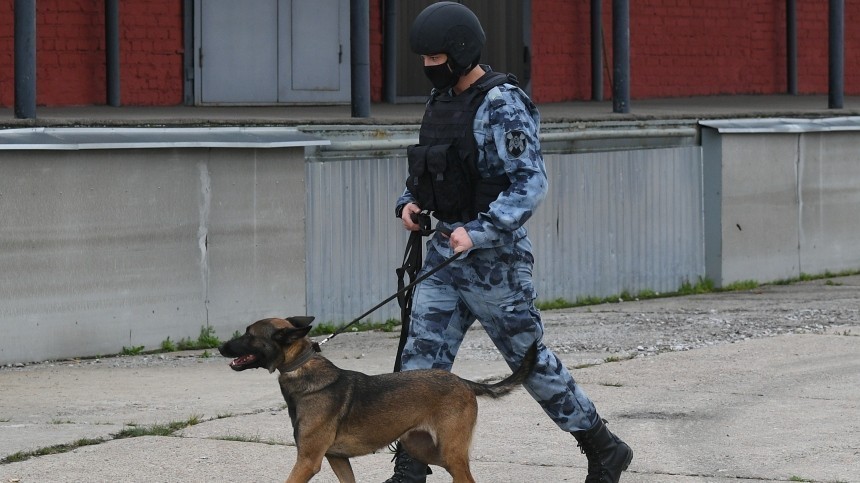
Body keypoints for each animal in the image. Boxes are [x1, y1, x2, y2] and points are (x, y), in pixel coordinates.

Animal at [217, 318, 536, 483]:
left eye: (249, 335)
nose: (220, 347)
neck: (302, 367)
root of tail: (463, 381)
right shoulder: (337, 459)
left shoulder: (308, 461)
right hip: (427, 449)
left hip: (450, 451)